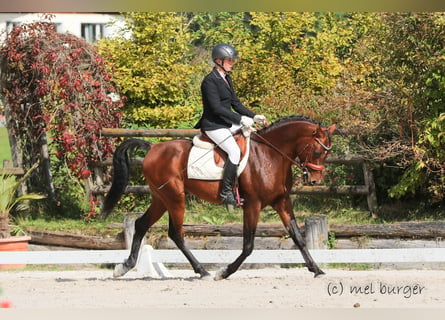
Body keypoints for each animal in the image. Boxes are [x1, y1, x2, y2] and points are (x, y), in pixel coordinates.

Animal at [100, 115, 334, 280]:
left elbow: (298, 238)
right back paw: (202, 271)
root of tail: (152, 148)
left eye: (326, 153)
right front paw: (224, 272)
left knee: (141, 224)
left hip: (161, 198)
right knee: (176, 233)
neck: (271, 155)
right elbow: (248, 245)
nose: (315, 181)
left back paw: (125, 267)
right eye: (316, 152)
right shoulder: (253, 204)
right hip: (175, 198)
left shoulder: (282, 201)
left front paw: (317, 269)